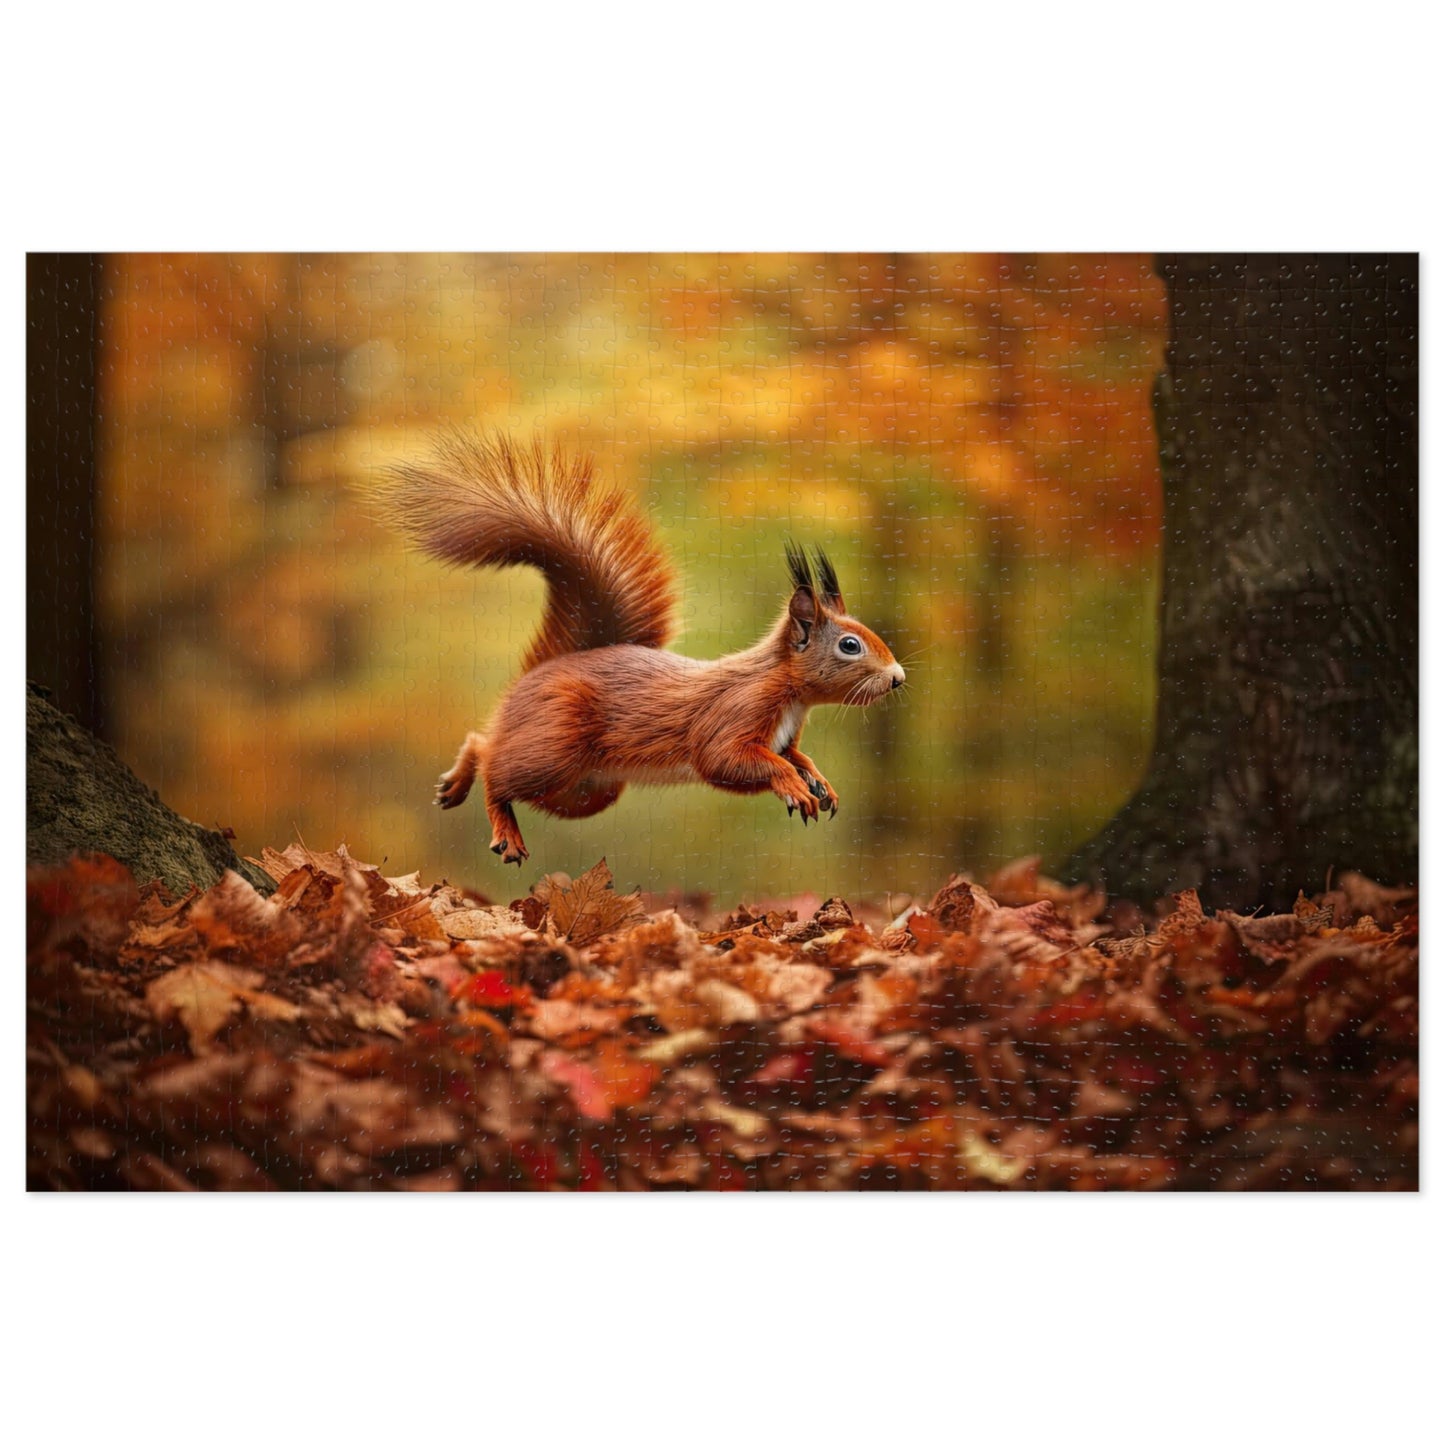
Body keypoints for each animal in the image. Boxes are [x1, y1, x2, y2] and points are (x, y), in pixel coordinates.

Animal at [374, 432, 905, 864]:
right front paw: (794, 787)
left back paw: (457, 781)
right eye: (850, 645)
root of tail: (542, 671)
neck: (790, 690)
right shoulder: (734, 713)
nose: (899, 678)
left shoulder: (785, 736)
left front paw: (817, 781)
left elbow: (795, 756)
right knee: (496, 769)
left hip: (584, 791)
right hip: (554, 746)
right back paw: (500, 823)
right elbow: (728, 759)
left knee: (488, 745)